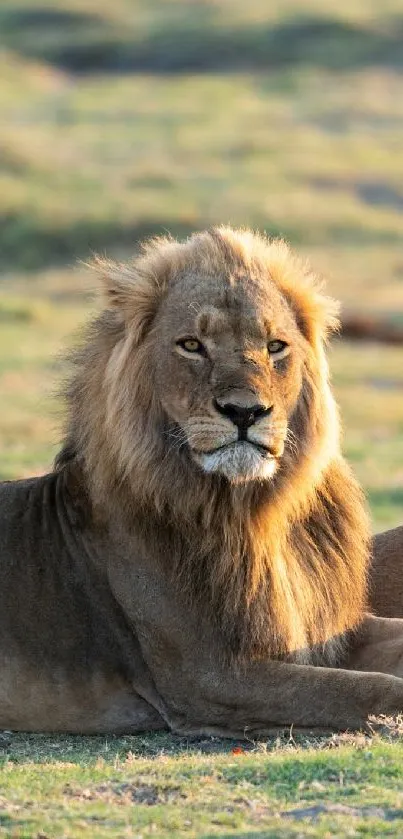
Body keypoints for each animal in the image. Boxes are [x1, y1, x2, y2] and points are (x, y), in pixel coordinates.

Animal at [0, 225, 403, 736]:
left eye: (275, 346)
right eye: (191, 345)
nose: (245, 412)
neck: (251, 512)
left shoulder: (328, 630)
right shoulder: (211, 676)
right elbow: (364, 689)